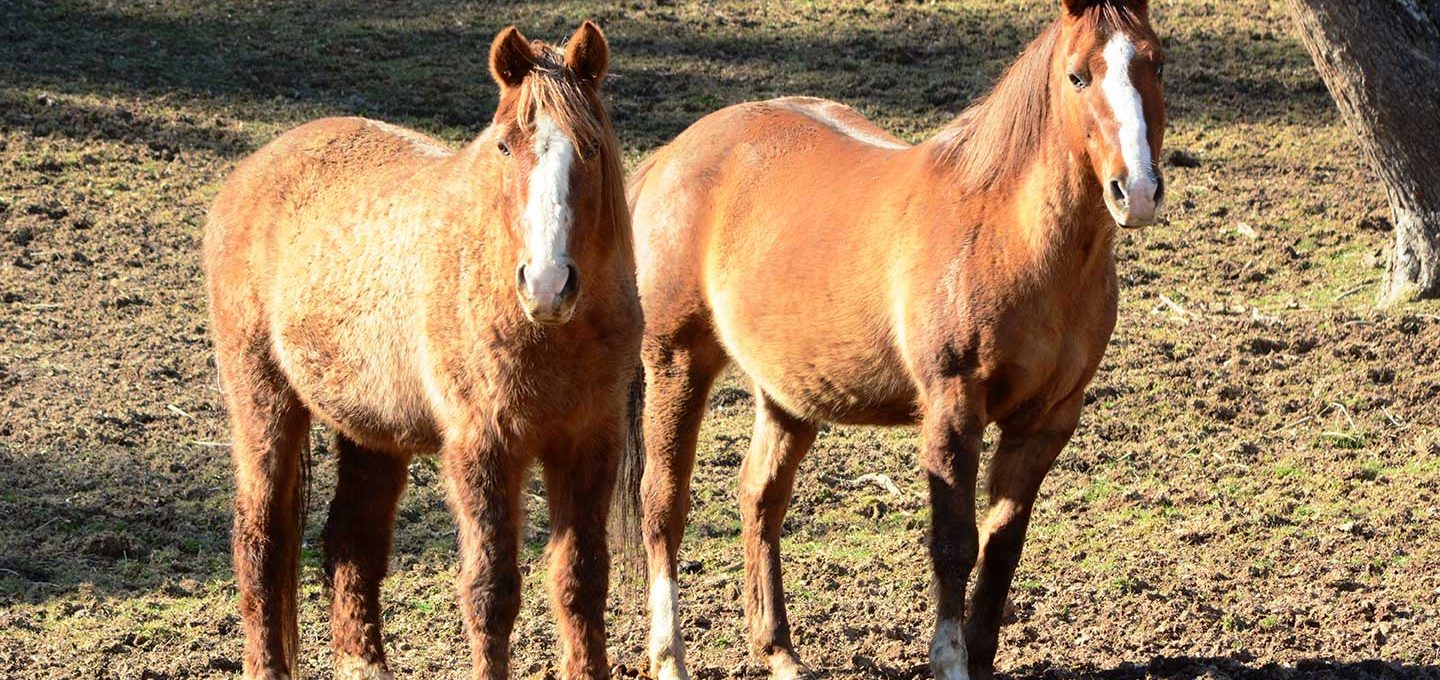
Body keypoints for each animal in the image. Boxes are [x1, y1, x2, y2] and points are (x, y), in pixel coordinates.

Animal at [202, 22, 640, 680]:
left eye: (589, 148)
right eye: (505, 147)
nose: (545, 283)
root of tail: (252, 170)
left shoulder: (590, 442)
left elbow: (580, 581)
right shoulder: (482, 447)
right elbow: (490, 590)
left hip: (370, 429)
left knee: (350, 542)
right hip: (264, 405)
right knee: (261, 543)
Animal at [625, 1, 1166, 678]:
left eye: (1157, 64)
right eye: (1077, 75)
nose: (1137, 190)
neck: (1008, 234)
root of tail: (671, 155)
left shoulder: (1047, 420)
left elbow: (1003, 545)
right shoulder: (953, 408)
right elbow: (955, 544)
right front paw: (950, 660)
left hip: (787, 393)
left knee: (759, 499)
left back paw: (779, 652)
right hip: (676, 361)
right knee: (663, 507)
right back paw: (669, 657)